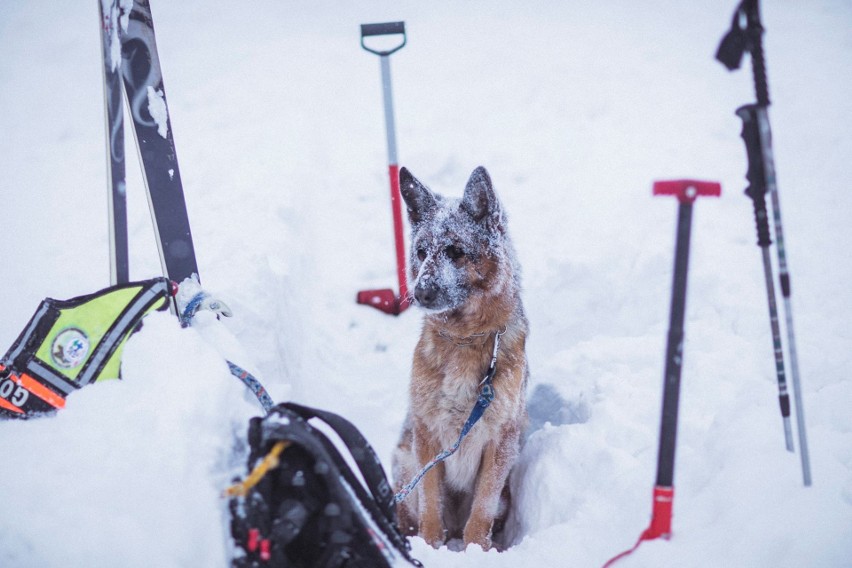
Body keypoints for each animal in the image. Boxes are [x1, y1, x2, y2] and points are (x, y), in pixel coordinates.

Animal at [392, 165, 524, 552]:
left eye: (455, 251)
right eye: (421, 251)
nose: (420, 293)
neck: (464, 340)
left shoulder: (500, 442)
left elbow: (481, 508)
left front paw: (476, 550)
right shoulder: (427, 436)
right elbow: (431, 504)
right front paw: (430, 546)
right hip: (404, 465)